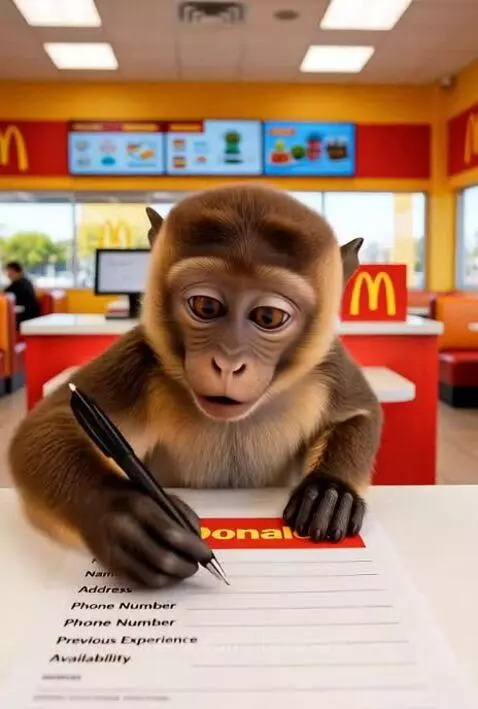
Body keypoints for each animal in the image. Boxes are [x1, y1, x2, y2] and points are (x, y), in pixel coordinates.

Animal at [8, 184, 382, 588]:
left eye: (268, 316)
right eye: (205, 306)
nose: (228, 362)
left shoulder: (325, 365)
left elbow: (360, 411)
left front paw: (331, 490)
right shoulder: (141, 360)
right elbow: (49, 423)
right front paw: (122, 512)